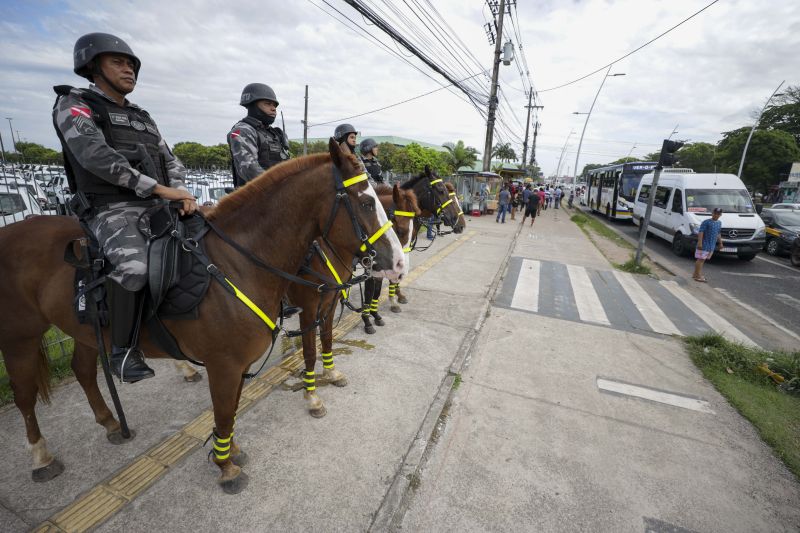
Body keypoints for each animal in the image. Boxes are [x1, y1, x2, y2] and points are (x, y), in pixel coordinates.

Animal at [0, 139, 404, 492]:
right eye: (366, 202)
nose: (399, 262)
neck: (238, 262)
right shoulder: (230, 360)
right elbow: (231, 406)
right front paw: (227, 467)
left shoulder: (307, 318)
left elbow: (240, 403)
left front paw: (231, 451)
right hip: (20, 336)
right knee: (24, 395)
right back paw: (41, 457)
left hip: (85, 329)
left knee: (83, 371)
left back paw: (111, 422)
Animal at [290, 183, 424, 416]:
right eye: (398, 229)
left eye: (415, 227)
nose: (402, 270)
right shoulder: (308, 309)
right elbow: (309, 352)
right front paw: (312, 397)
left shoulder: (330, 301)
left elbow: (327, 337)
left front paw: (331, 373)